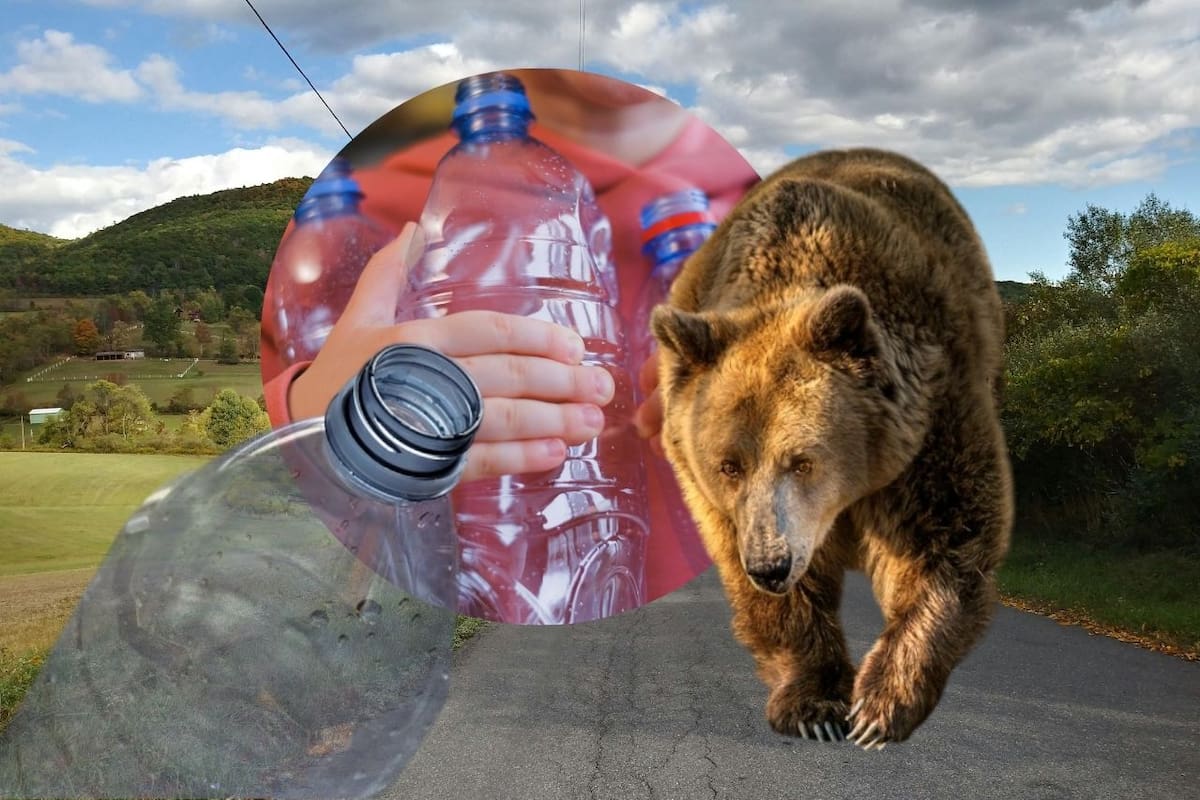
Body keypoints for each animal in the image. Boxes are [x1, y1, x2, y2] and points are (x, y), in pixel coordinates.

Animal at [650, 147, 1013, 749]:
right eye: (728, 465)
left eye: (803, 460)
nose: (770, 566)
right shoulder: (718, 498)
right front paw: (816, 707)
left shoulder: (927, 426)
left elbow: (947, 537)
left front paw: (877, 709)